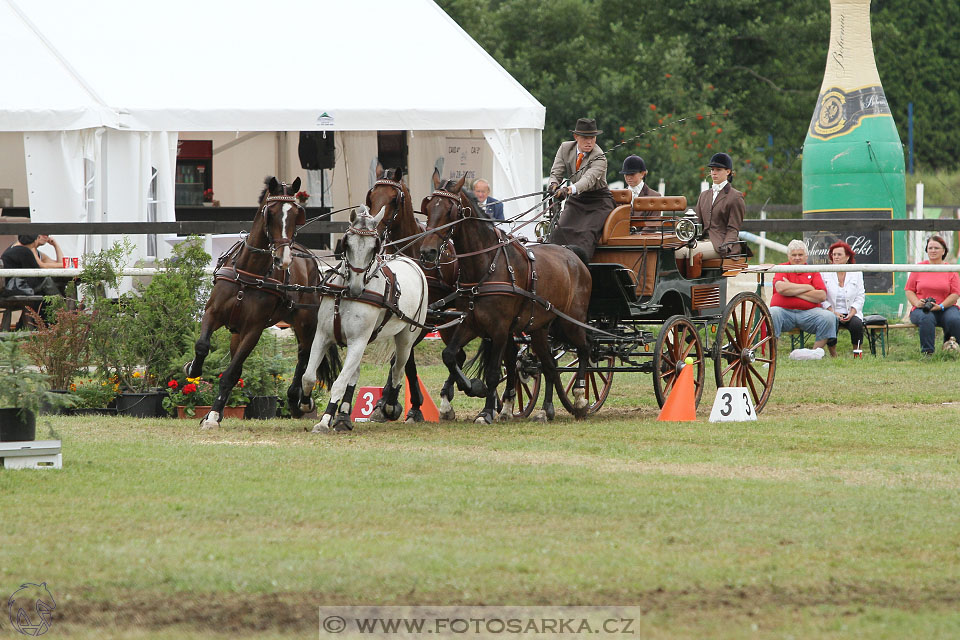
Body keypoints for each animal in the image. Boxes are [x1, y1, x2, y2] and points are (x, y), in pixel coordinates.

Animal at [186, 176, 340, 430]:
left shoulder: (253, 329)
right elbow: (202, 346)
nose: (283, 258)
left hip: (305, 321)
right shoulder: (213, 313)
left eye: (296, 213)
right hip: (239, 331)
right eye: (272, 212)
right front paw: (193, 370)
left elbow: (231, 373)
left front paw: (214, 416)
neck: (249, 272)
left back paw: (299, 399)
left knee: (304, 353)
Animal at [418, 178, 592, 422]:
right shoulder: (469, 323)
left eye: (450, 211)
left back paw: (579, 397)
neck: (486, 266)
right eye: (428, 207)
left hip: (571, 322)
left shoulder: (499, 329)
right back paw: (546, 409)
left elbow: (493, 373)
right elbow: (449, 356)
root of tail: (573, 255)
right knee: (549, 365)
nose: (427, 252)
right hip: (539, 328)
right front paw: (473, 388)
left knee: (585, 349)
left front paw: (486, 412)